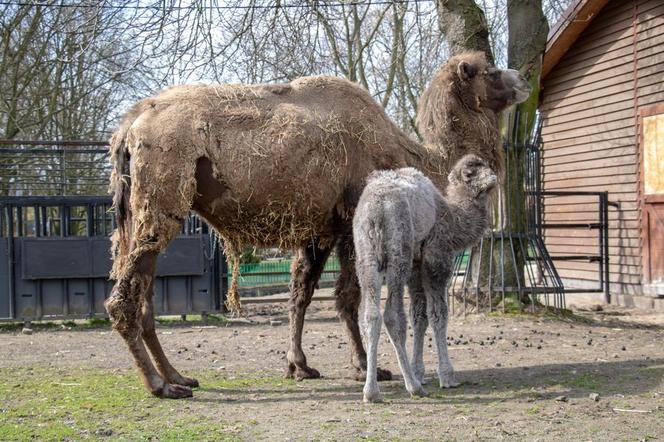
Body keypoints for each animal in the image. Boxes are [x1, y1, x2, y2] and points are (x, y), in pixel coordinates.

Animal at [352, 154, 498, 402]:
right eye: (470, 173)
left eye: (486, 166)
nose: (494, 178)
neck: (451, 214)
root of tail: (377, 209)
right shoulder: (435, 257)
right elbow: (438, 314)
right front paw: (447, 376)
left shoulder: (415, 265)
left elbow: (419, 315)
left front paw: (419, 371)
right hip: (398, 252)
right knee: (392, 316)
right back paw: (413, 387)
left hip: (366, 257)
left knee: (371, 315)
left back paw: (371, 392)